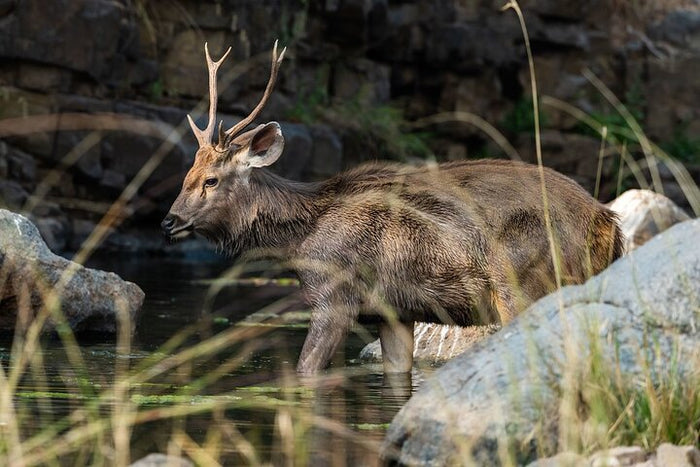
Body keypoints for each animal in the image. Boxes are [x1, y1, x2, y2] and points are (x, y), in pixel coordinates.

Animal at [161, 42, 624, 376]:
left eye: (210, 180)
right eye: (186, 173)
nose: (169, 220)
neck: (302, 237)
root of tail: (608, 222)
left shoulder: (334, 296)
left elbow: (306, 370)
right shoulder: (392, 312)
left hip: (527, 282)